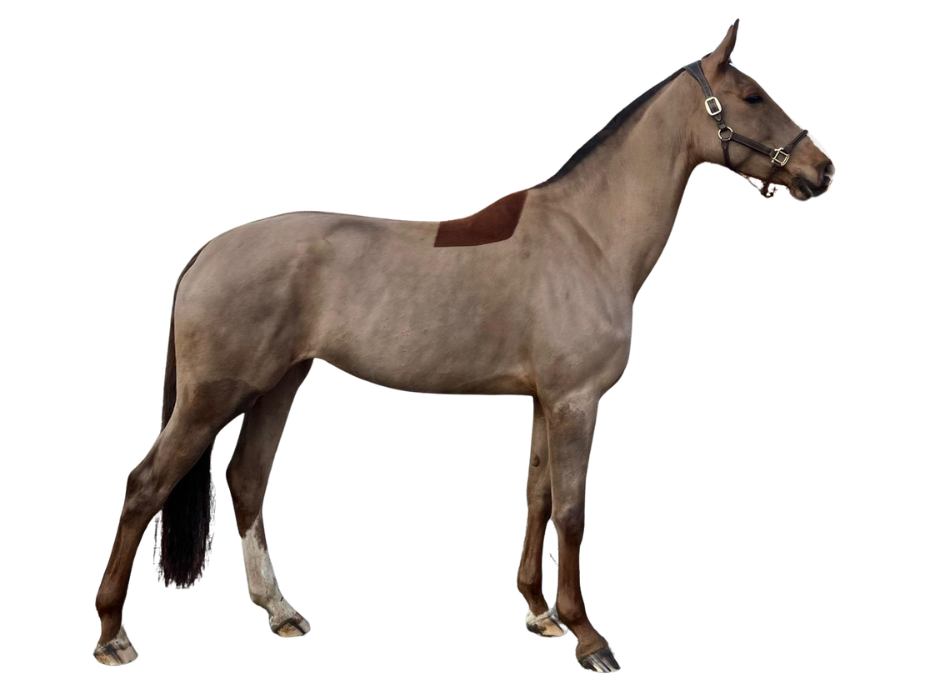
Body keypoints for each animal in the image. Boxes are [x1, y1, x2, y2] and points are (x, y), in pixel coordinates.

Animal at [94, 19, 836, 672]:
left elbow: (537, 495)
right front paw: (588, 638)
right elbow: (572, 512)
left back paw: (281, 612)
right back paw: (113, 635)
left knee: (247, 479)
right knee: (146, 485)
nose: (823, 169)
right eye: (752, 97)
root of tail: (207, 252)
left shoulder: (546, 403)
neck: (588, 235)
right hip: (214, 397)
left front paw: (540, 614)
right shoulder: (577, 403)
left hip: (281, 383)